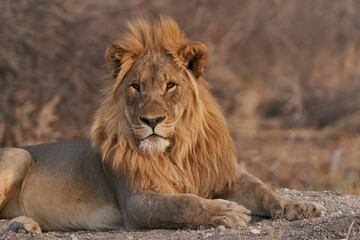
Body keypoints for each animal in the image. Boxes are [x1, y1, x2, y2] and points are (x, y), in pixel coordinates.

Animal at [0, 17, 324, 234]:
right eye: (135, 86)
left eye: (170, 86)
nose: (152, 121)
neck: (175, 150)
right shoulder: (137, 202)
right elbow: (183, 202)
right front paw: (226, 211)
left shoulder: (222, 175)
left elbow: (262, 188)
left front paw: (299, 206)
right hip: (18, 154)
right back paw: (21, 225)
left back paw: (22, 224)